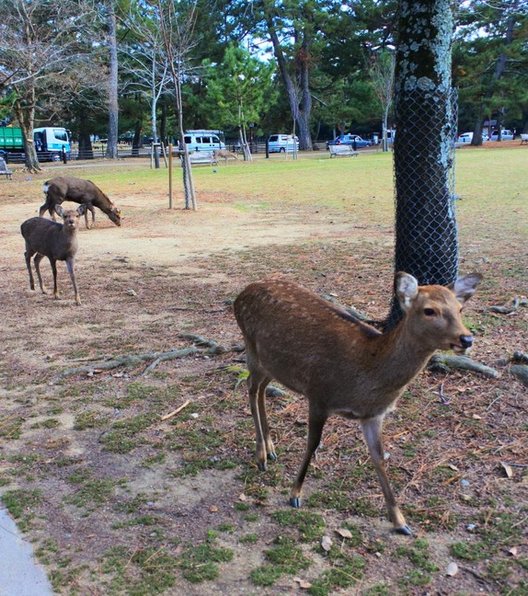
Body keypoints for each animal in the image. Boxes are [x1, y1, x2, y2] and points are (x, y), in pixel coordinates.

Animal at [235, 272, 482, 532]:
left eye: (460, 308)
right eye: (429, 310)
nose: (466, 338)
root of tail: (243, 293)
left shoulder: (373, 415)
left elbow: (379, 457)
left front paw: (400, 521)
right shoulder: (319, 395)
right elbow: (312, 444)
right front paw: (295, 494)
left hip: (274, 365)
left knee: (261, 389)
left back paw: (270, 447)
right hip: (252, 348)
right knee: (251, 387)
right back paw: (261, 455)